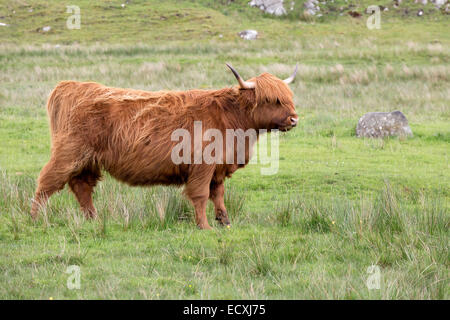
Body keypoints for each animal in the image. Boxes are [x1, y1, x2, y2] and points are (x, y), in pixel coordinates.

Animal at [31, 65, 298, 229]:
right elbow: (201, 195)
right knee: (47, 182)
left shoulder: (218, 167)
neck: (232, 119)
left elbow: (219, 195)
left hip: (88, 160)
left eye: (289, 98)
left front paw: (225, 222)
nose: (294, 119)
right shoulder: (202, 166)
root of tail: (72, 86)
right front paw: (204, 226)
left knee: (82, 186)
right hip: (69, 153)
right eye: (272, 100)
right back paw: (34, 218)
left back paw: (93, 219)